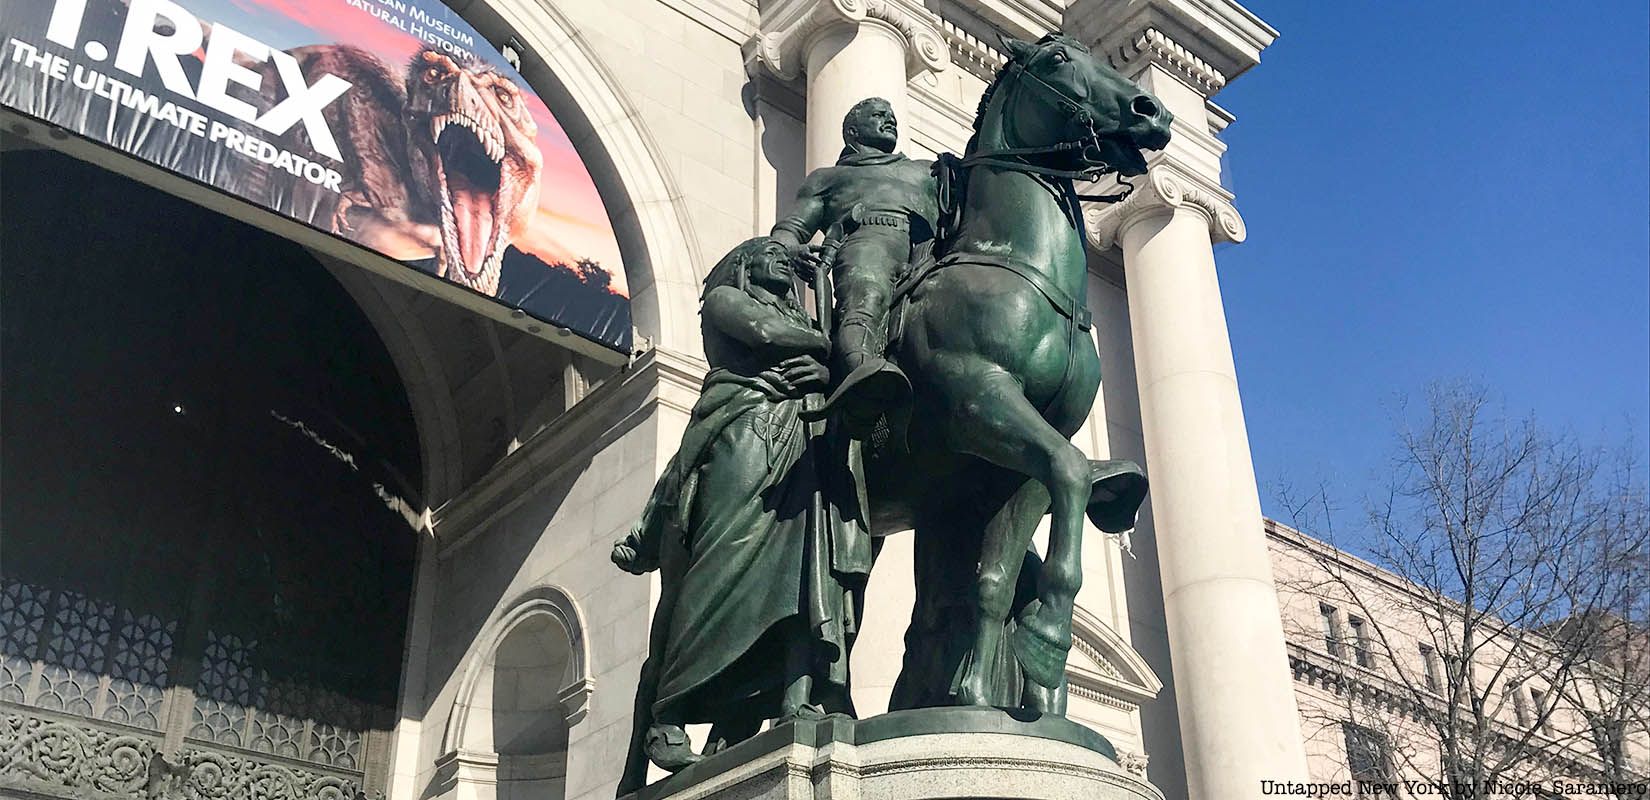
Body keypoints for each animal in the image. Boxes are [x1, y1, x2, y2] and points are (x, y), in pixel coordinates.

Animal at [864, 34, 1174, 712]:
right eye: (1057, 60)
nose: (1153, 110)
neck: (1016, 264)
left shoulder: (1017, 458)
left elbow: (999, 576)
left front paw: (979, 693)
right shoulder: (977, 398)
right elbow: (1073, 469)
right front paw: (1047, 637)